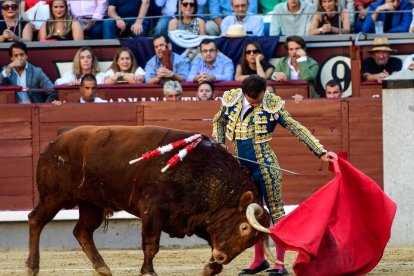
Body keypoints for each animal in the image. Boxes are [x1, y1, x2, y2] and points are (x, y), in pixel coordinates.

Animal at [26, 125, 272, 276]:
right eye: (243, 227)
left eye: (251, 241)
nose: (222, 257)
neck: (202, 171)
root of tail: (60, 135)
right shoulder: (152, 211)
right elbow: (151, 245)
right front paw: (148, 271)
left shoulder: (197, 218)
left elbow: (211, 242)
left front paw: (210, 268)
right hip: (54, 196)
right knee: (36, 220)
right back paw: (32, 267)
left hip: (91, 204)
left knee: (82, 232)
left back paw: (103, 268)